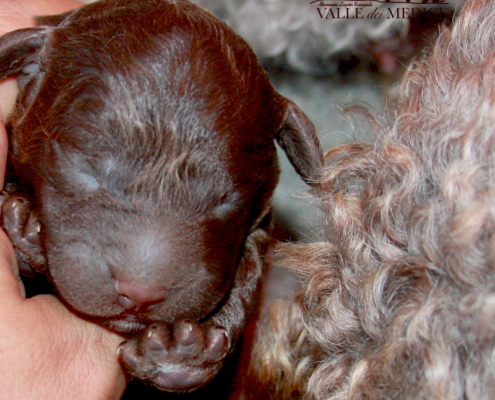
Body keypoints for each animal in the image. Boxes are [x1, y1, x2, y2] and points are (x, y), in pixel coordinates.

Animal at [0, 0, 322, 394]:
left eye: (226, 199)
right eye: (86, 169)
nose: (140, 294)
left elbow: (248, 267)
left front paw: (184, 354)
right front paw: (28, 231)